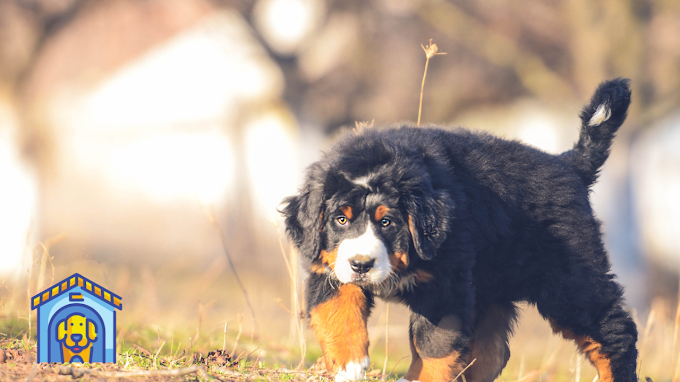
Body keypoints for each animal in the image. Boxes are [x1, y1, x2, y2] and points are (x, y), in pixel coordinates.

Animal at [280, 78, 636, 382]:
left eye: (386, 222)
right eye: (340, 220)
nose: (361, 265)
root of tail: (568, 164)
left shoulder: (447, 285)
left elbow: (433, 344)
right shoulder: (327, 262)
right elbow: (334, 310)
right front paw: (348, 365)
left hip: (568, 280)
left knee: (614, 331)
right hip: (491, 283)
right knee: (493, 351)